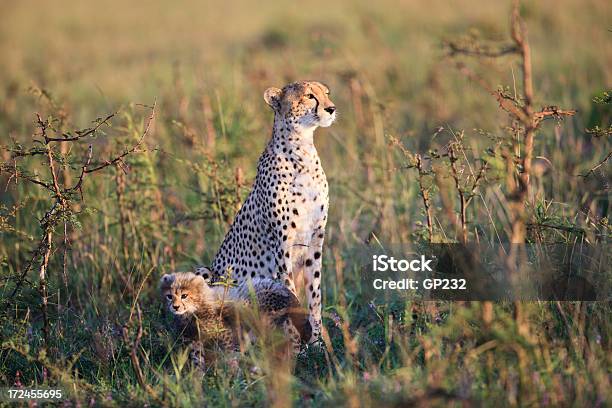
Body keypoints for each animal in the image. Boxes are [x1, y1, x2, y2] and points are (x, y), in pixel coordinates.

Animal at [197, 79, 334, 342]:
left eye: (326, 93)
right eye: (309, 96)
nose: (331, 108)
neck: (302, 152)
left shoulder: (315, 240)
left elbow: (314, 296)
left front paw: (317, 342)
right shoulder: (282, 245)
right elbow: (291, 294)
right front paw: (298, 345)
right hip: (207, 274)